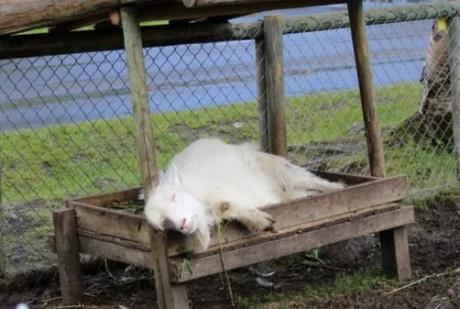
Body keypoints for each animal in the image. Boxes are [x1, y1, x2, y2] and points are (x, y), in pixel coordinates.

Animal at [145, 138, 344, 249]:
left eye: (173, 196)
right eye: (164, 224)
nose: (183, 224)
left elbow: (224, 205)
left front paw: (260, 220)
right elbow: (225, 206)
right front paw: (259, 221)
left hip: (279, 170)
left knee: (311, 180)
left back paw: (338, 189)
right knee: (301, 192)